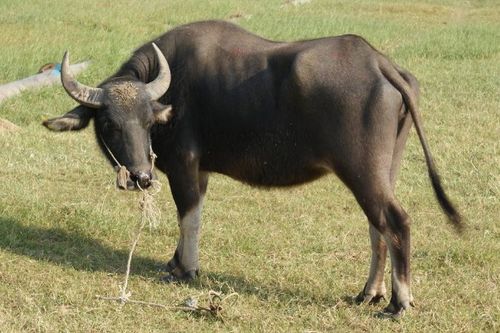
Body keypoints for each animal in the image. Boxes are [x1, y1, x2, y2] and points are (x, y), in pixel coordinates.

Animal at [44, 19, 460, 316]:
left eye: (149, 122)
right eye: (109, 124)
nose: (141, 177)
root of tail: (379, 62)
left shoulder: (184, 165)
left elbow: (189, 216)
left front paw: (187, 269)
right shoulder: (200, 171)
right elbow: (192, 215)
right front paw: (176, 262)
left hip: (362, 170)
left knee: (396, 221)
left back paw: (398, 303)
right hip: (383, 170)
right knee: (378, 226)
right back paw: (369, 293)